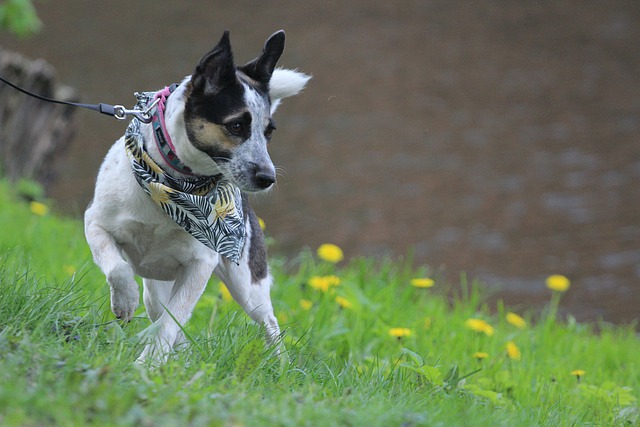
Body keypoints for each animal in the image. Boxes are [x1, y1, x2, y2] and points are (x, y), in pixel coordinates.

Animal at [84, 30, 310, 364]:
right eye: (236, 125)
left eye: (268, 132)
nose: (268, 178)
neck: (173, 187)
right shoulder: (96, 224)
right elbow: (119, 268)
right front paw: (125, 301)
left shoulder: (200, 265)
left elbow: (173, 320)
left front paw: (148, 364)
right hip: (156, 287)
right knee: (158, 308)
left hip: (247, 284)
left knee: (268, 321)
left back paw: (280, 364)